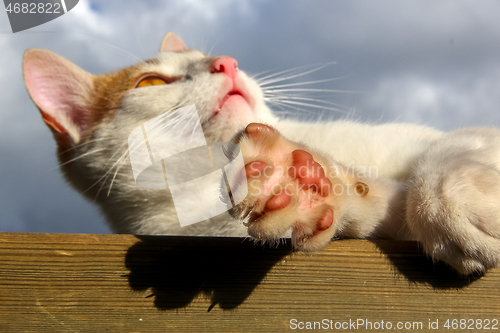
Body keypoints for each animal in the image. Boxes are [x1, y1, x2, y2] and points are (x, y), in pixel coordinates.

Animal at [23, 31, 500, 274]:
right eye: (152, 82)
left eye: (208, 56)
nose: (227, 62)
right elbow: (377, 206)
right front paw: (305, 190)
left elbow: (450, 150)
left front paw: (448, 202)